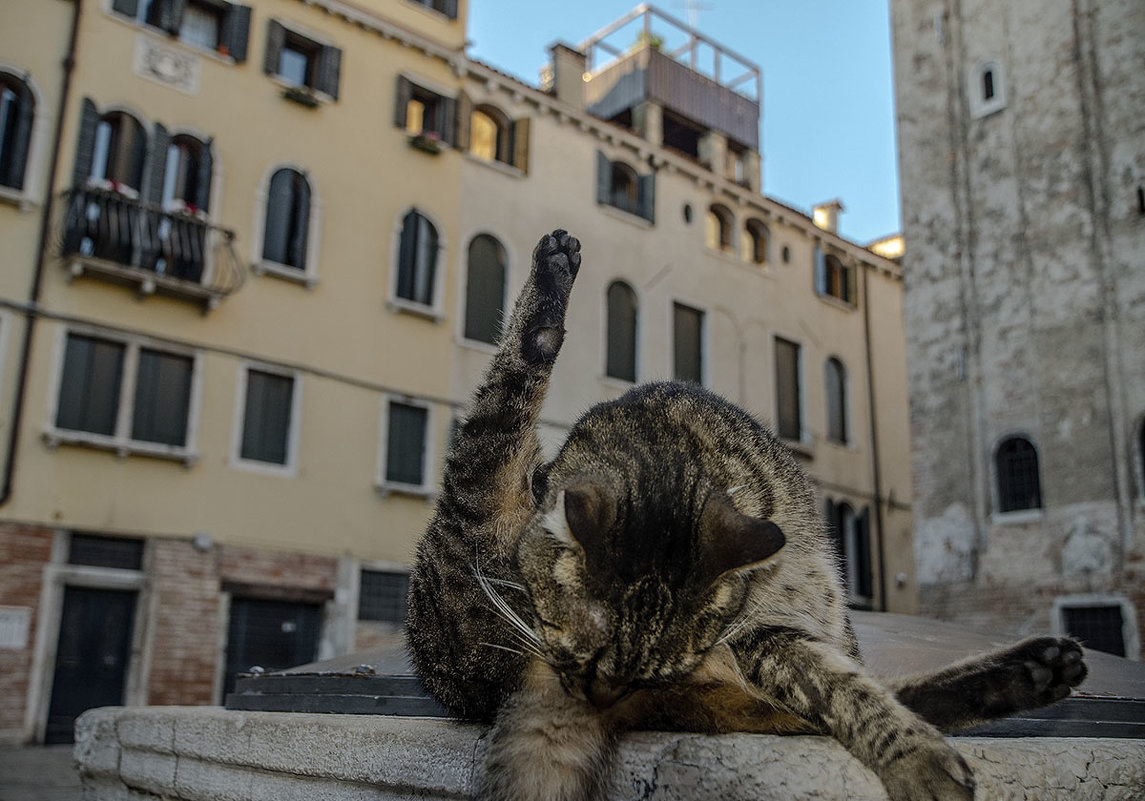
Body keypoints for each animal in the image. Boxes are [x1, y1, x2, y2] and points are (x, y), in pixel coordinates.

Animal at [407, 230, 1085, 801]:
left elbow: (851, 679)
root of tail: (475, 676)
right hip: (484, 473)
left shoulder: (809, 623)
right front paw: (914, 759)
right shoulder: (762, 639)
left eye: (646, 674)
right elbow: (843, 693)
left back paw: (1033, 672)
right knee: (516, 373)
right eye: (583, 662)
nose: (594, 692)